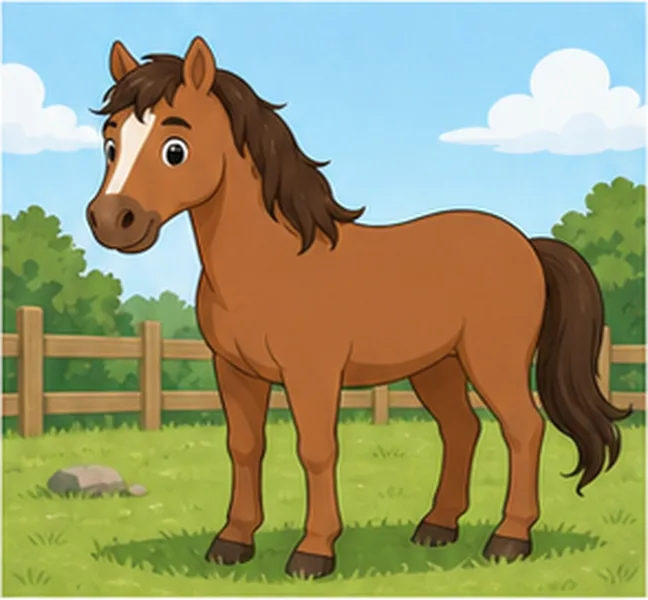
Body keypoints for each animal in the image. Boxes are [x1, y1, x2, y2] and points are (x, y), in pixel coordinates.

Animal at [86, 36, 630, 579]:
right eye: (110, 144)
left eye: (175, 149)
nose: (112, 220)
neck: (271, 262)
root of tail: (527, 245)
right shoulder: (235, 371)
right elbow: (244, 447)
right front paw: (232, 542)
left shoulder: (313, 374)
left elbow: (317, 451)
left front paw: (314, 552)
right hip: (438, 366)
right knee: (461, 429)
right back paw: (437, 528)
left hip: (493, 361)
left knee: (523, 429)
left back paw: (509, 539)